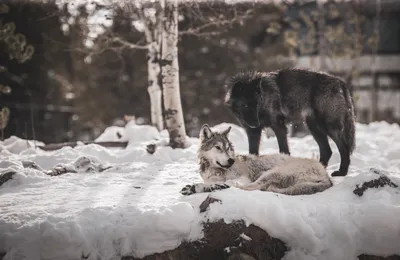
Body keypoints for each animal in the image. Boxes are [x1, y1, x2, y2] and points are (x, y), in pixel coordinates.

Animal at [180, 124, 332, 195]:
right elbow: (212, 182)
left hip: (270, 173)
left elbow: (230, 182)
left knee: (250, 187)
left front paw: (212, 186)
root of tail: (327, 176)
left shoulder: (243, 178)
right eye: (218, 147)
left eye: (228, 148)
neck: (215, 170)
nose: (231, 161)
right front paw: (201, 187)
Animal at [225, 68, 356, 177]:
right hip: (313, 127)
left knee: (344, 148)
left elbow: (284, 150)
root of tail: (340, 82)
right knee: (327, 150)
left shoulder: (278, 126)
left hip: (328, 126)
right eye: (245, 105)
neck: (265, 99)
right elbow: (253, 153)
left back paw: (342, 172)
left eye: (256, 105)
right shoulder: (253, 132)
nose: (255, 124)